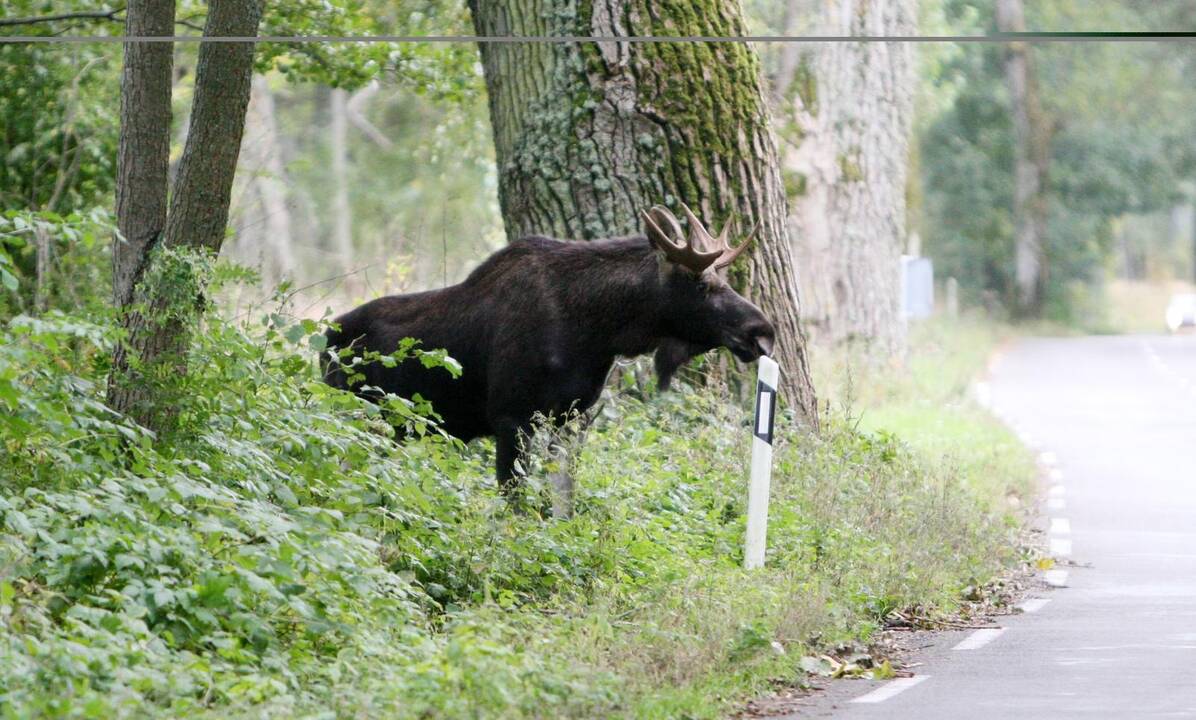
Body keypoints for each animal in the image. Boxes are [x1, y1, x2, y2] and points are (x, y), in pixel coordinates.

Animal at [325, 204, 775, 490]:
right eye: (701, 285)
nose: (763, 331)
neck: (597, 333)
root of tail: (324, 341)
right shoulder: (511, 418)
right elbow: (515, 498)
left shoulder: (571, 417)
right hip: (355, 417)